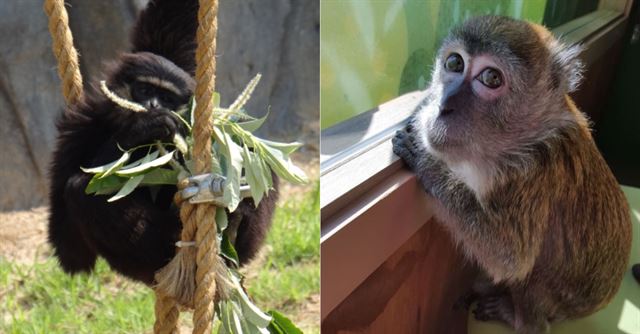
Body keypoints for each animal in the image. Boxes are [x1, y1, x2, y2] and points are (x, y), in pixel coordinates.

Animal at [392, 15, 632, 332]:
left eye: (491, 78)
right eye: (455, 63)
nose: (444, 105)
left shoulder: (533, 174)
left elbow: (509, 256)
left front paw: (424, 157)